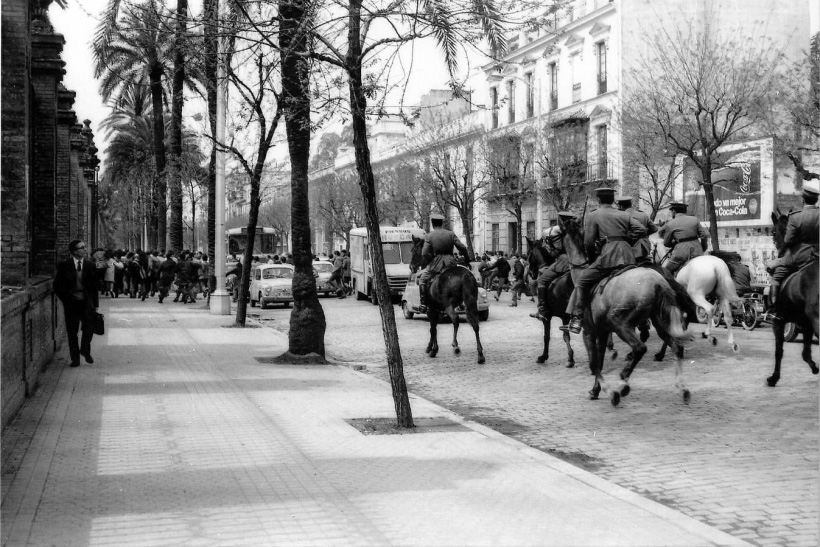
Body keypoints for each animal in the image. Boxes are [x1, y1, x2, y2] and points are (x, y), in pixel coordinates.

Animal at [408, 235, 484, 364]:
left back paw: (456, 346)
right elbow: (433, 328)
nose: (411, 267)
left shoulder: (431, 309)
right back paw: (480, 355)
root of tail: (465, 275)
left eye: (414, 250)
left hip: (449, 305)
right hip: (472, 302)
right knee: (475, 324)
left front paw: (433, 350)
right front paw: (430, 347)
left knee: (455, 319)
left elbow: (433, 329)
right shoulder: (436, 310)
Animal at [524, 232, 576, 368]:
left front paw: (543, 356)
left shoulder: (548, 317)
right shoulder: (564, 316)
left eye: (528, 254)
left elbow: (547, 336)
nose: (531, 273)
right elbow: (566, 336)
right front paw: (570, 358)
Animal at [556, 216, 692, 404]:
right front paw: (596, 390)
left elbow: (594, 363)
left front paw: (605, 391)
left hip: (621, 324)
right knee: (677, 347)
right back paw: (682, 387)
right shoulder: (603, 331)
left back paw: (623, 383)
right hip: (659, 322)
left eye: (555, 235)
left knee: (640, 348)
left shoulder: (589, 331)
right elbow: (600, 361)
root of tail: (657, 281)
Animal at [764, 212, 816, 388]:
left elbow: (778, 351)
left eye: (773, 232)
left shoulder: (778, 321)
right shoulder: (806, 323)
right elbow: (806, 353)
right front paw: (815, 367)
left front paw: (774, 378)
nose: (779, 252)